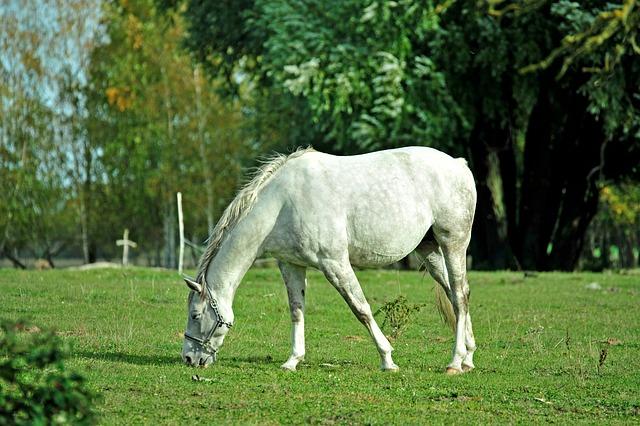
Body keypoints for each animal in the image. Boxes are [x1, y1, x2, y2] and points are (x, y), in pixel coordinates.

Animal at [180, 146, 476, 372]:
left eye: (195, 314)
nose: (189, 358)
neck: (283, 202)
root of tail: (458, 165)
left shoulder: (335, 263)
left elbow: (361, 309)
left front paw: (387, 359)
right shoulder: (291, 265)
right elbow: (297, 310)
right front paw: (292, 361)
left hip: (454, 243)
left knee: (460, 294)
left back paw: (454, 362)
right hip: (430, 251)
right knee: (454, 294)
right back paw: (468, 357)